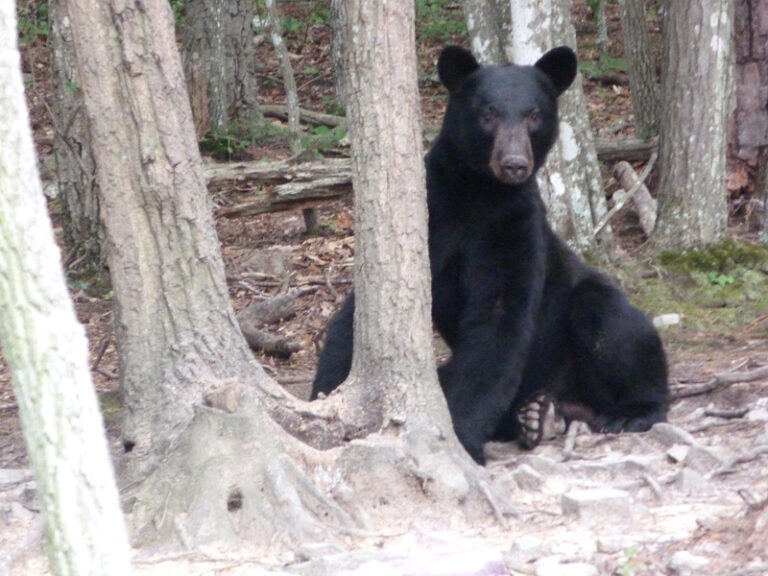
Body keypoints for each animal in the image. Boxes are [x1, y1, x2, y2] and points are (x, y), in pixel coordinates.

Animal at [308, 47, 668, 466]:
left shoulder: (512, 224)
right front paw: (327, 399)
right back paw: (537, 415)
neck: (478, 193)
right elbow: (358, 312)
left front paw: (461, 438)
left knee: (614, 321)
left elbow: (498, 319)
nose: (514, 164)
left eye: (533, 114)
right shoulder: (433, 215)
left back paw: (628, 410)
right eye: (488, 114)